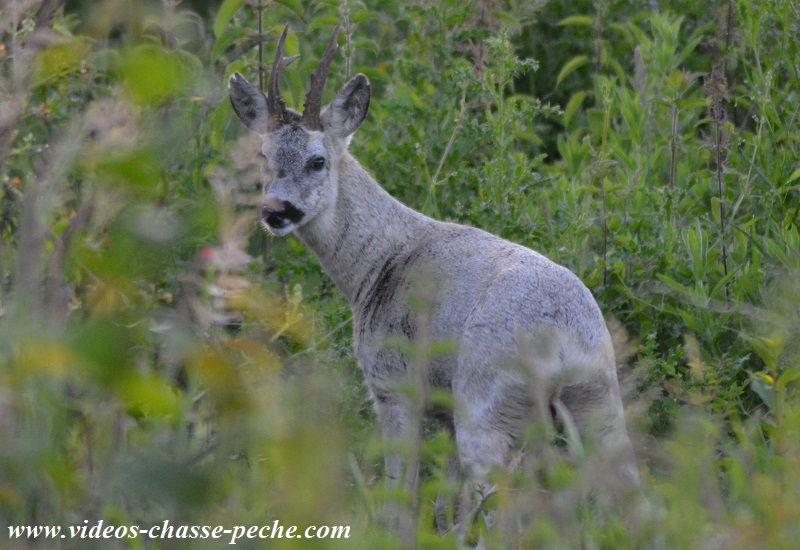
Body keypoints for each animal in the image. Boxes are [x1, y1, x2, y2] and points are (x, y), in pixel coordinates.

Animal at [228, 23, 640, 540]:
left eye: (318, 160)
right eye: (262, 156)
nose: (276, 211)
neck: (374, 266)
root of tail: (563, 337)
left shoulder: (396, 385)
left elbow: (399, 502)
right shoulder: (441, 411)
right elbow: (446, 511)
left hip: (485, 404)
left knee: (499, 511)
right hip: (598, 402)